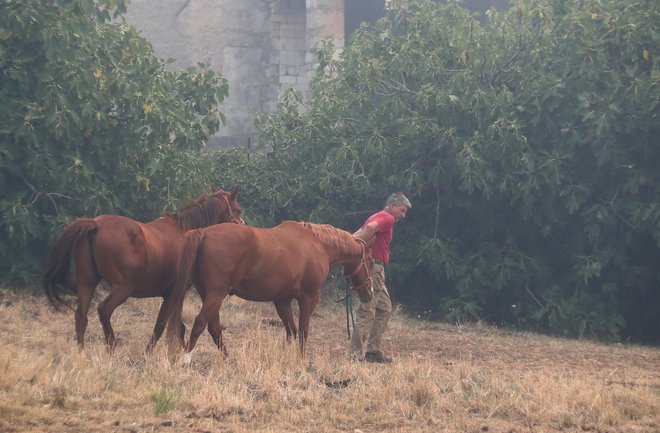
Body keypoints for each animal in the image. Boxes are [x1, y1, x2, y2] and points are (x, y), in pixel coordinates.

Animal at [41, 186, 244, 352]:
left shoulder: (172, 295)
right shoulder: (173, 294)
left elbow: (177, 327)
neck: (186, 230)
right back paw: (111, 346)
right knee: (103, 310)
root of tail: (95, 224)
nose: (244, 225)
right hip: (123, 288)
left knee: (81, 317)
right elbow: (162, 324)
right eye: (237, 210)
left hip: (86, 284)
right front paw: (150, 354)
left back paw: (82, 354)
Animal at [164, 221, 372, 356]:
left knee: (214, 327)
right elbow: (303, 330)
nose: (369, 293)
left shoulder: (282, 300)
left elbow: (291, 330)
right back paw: (186, 358)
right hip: (216, 294)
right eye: (369, 261)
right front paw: (301, 358)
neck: (317, 244)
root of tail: (204, 233)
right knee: (201, 323)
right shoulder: (309, 298)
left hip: (208, 294)